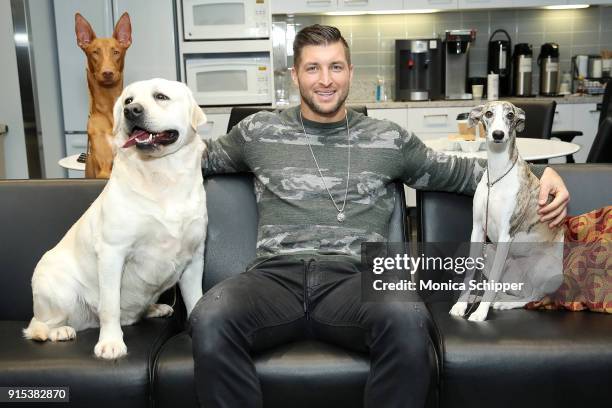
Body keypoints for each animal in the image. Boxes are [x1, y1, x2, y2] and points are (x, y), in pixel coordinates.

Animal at [450, 100, 564, 320]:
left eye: (510, 115)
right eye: (488, 113)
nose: (498, 135)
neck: (497, 176)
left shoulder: (506, 234)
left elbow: (492, 281)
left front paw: (480, 313)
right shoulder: (477, 230)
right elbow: (470, 273)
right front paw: (461, 304)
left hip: (543, 268)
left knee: (533, 297)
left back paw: (502, 304)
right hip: (492, 256)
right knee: (515, 291)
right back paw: (492, 299)